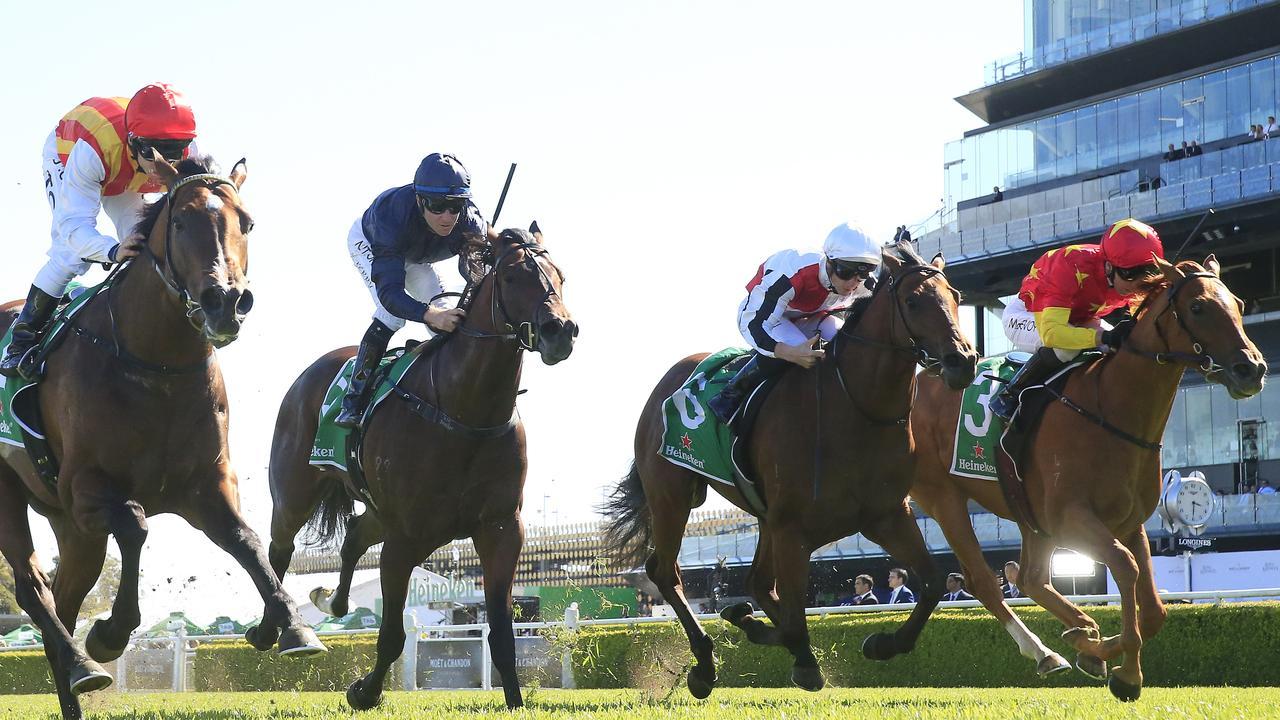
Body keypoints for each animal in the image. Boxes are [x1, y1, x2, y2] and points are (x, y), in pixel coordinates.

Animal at [0, 155, 322, 717]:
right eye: (181, 221)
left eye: (247, 222)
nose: (226, 302)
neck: (157, 365)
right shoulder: (85, 489)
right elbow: (134, 523)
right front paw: (109, 634)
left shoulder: (206, 486)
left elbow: (248, 541)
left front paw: (294, 627)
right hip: (15, 497)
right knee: (33, 589)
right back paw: (83, 663)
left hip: (72, 529)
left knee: (64, 595)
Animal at [264, 228, 576, 707]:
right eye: (510, 276)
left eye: (560, 275)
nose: (560, 331)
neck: (466, 411)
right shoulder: (406, 537)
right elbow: (392, 635)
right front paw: (364, 692)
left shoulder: (501, 528)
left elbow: (502, 634)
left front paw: (516, 702)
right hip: (295, 492)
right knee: (279, 547)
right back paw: (271, 631)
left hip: (380, 510)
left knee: (354, 536)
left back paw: (331, 602)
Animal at [601, 240, 977, 696]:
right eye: (912, 301)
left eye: (955, 296)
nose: (963, 361)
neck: (855, 409)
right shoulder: (793, 528)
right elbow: (796, 619)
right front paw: (802, 661)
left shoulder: (886, 515)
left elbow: (934, 581)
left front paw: (881, 644)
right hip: (672, 497)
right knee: (666, 572)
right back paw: (705, 665)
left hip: (763, 516)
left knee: (756, 584)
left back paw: (746, 624)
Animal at [916, 254, 1264, 696]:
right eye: (1198, 307)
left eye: (1238, 303)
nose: (1252, 368)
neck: (1110, 411)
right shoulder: (1071, 519)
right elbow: (1125, 567)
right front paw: (1127, 674)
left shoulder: (1129, 522)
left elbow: (1155, 610)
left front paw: (1094, 648)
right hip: (943, 497)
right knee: (983, 580)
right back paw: (1046, 651)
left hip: (1027, 513)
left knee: (1030, 578)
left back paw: (1078, 631)